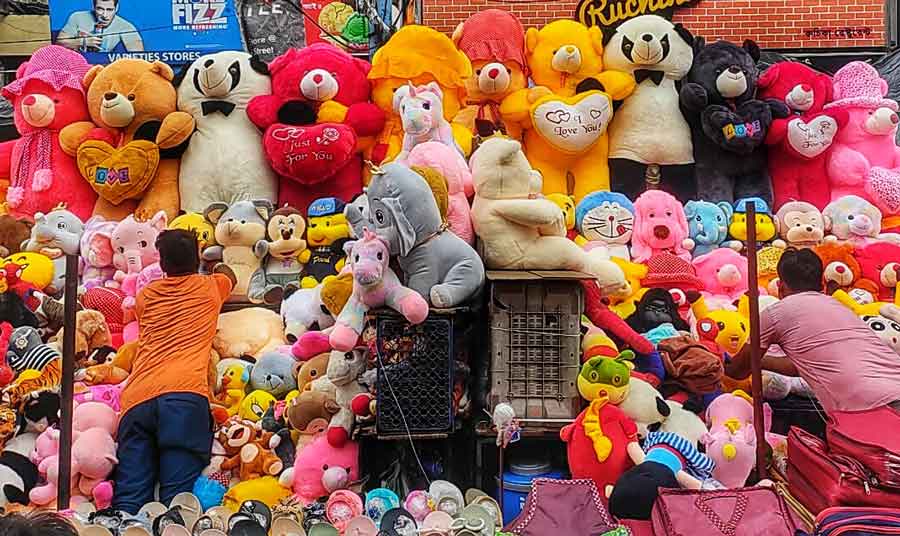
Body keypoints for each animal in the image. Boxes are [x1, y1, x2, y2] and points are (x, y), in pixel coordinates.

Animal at [174, 51, 276, 213]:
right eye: (195, 75)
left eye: (234, 70)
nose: (208, 62)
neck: (218, 106)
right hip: (198, 195)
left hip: (251, 189)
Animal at [472, 138, 624, 288]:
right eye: (528, 171)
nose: (539, 174)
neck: (491, 194)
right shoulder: (505, 205)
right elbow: (545, 214)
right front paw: (558, 220)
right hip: (546, 255)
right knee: (580, 259)